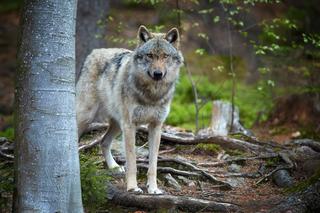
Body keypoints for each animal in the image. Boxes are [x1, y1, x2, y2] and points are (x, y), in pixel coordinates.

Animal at [76, 25, 184, 194]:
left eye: (165, 56)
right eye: (150, 55)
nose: (158, 74)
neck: (152, 95)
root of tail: (93, 52)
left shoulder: (156, 127)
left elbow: (153, 164)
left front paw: (153, 188)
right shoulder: (130, 126)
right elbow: (132, 161)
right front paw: (133, 187)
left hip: (117, 124)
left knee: (103, 142)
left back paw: (114, 166)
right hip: (87, 116)